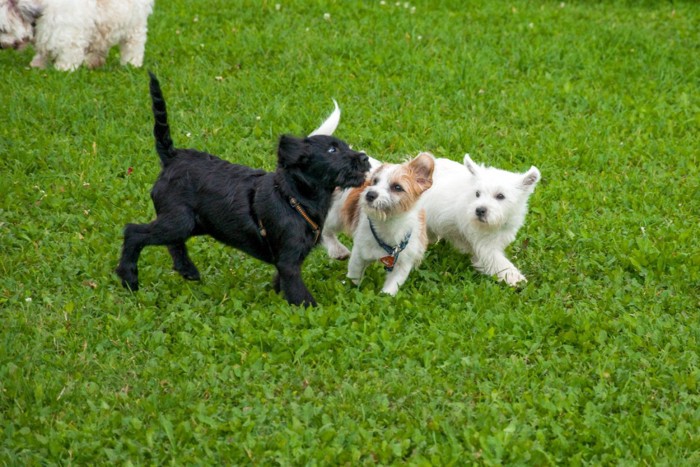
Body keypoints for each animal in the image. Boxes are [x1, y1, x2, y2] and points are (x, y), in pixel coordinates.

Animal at [0, 0, 154, 71]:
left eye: (2, 30)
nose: (1, 46)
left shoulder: (69, 36)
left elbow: (68, 54)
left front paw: (62, 70)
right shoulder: (47, 34)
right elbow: (43, 51)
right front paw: (37, 66)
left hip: (134, 26)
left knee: (133, 45)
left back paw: (131, 64)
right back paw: (92, 62)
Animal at [117, 73, 370, 308]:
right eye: (332, 150)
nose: (364, 158)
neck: (294, 197)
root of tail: (171, 157)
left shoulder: (288, 260)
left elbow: (282, 283)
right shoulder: (289, 261)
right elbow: (299, 292)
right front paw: (311, 311)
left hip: (191, 222)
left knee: (172, 242)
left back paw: (187, 269)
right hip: (179, 220)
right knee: (133, 232)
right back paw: (129, 277)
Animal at [324, 152, 434, 294]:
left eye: (397, 187)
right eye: (375, 181)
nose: (370, 194)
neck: (389, 223)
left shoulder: (403, 263)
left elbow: (390, 290)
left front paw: (383, 296)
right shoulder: (359, 253)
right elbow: (354, 277)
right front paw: (353, 290)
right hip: (335, 215)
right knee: (324, 230)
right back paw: (337, 250)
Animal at [422, 154, 540, 286]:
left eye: (500, 196)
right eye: (477, 193)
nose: (479, 210)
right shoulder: (485, 245)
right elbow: (500, 263)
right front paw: (515, 278)